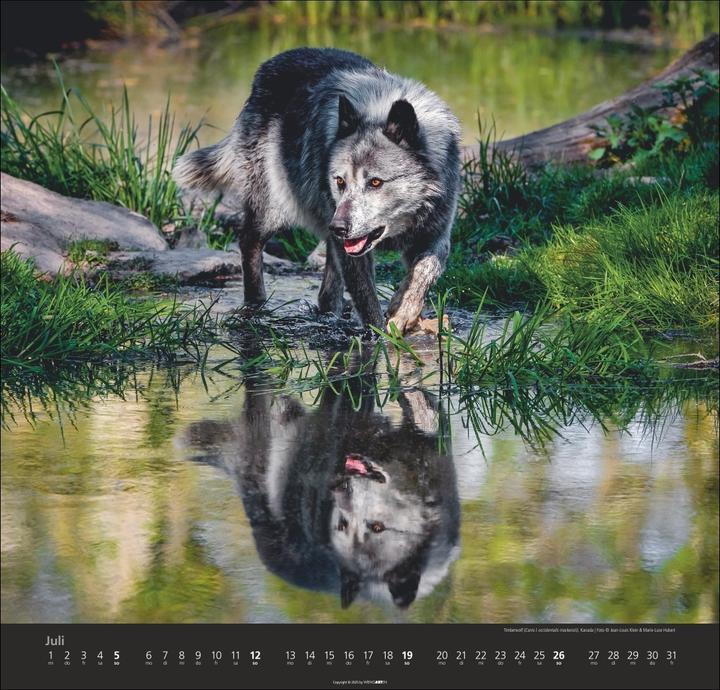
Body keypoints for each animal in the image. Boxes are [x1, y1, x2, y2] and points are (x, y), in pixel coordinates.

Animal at [173, 47, 461, 333]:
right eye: (340, 181)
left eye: (375, 182)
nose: (339, 227)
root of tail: (268, 65)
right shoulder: (352, 250)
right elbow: (367, 300)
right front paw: (379, 335)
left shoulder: (435, 236)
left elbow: (424, 273)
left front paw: (402, 313)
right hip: (276, 211)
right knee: (248, 242)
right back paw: (257, 305)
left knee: (327, 288)